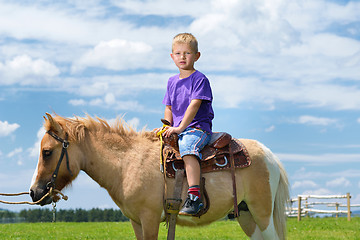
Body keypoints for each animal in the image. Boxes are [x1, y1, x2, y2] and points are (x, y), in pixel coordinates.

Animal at [31, 113, 290, 239]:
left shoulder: (150, 218)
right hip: (247, 216)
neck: (127, 162)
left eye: (47, 152)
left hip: (262, 215)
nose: (35, 192)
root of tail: (269, 155)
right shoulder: (136, 221)